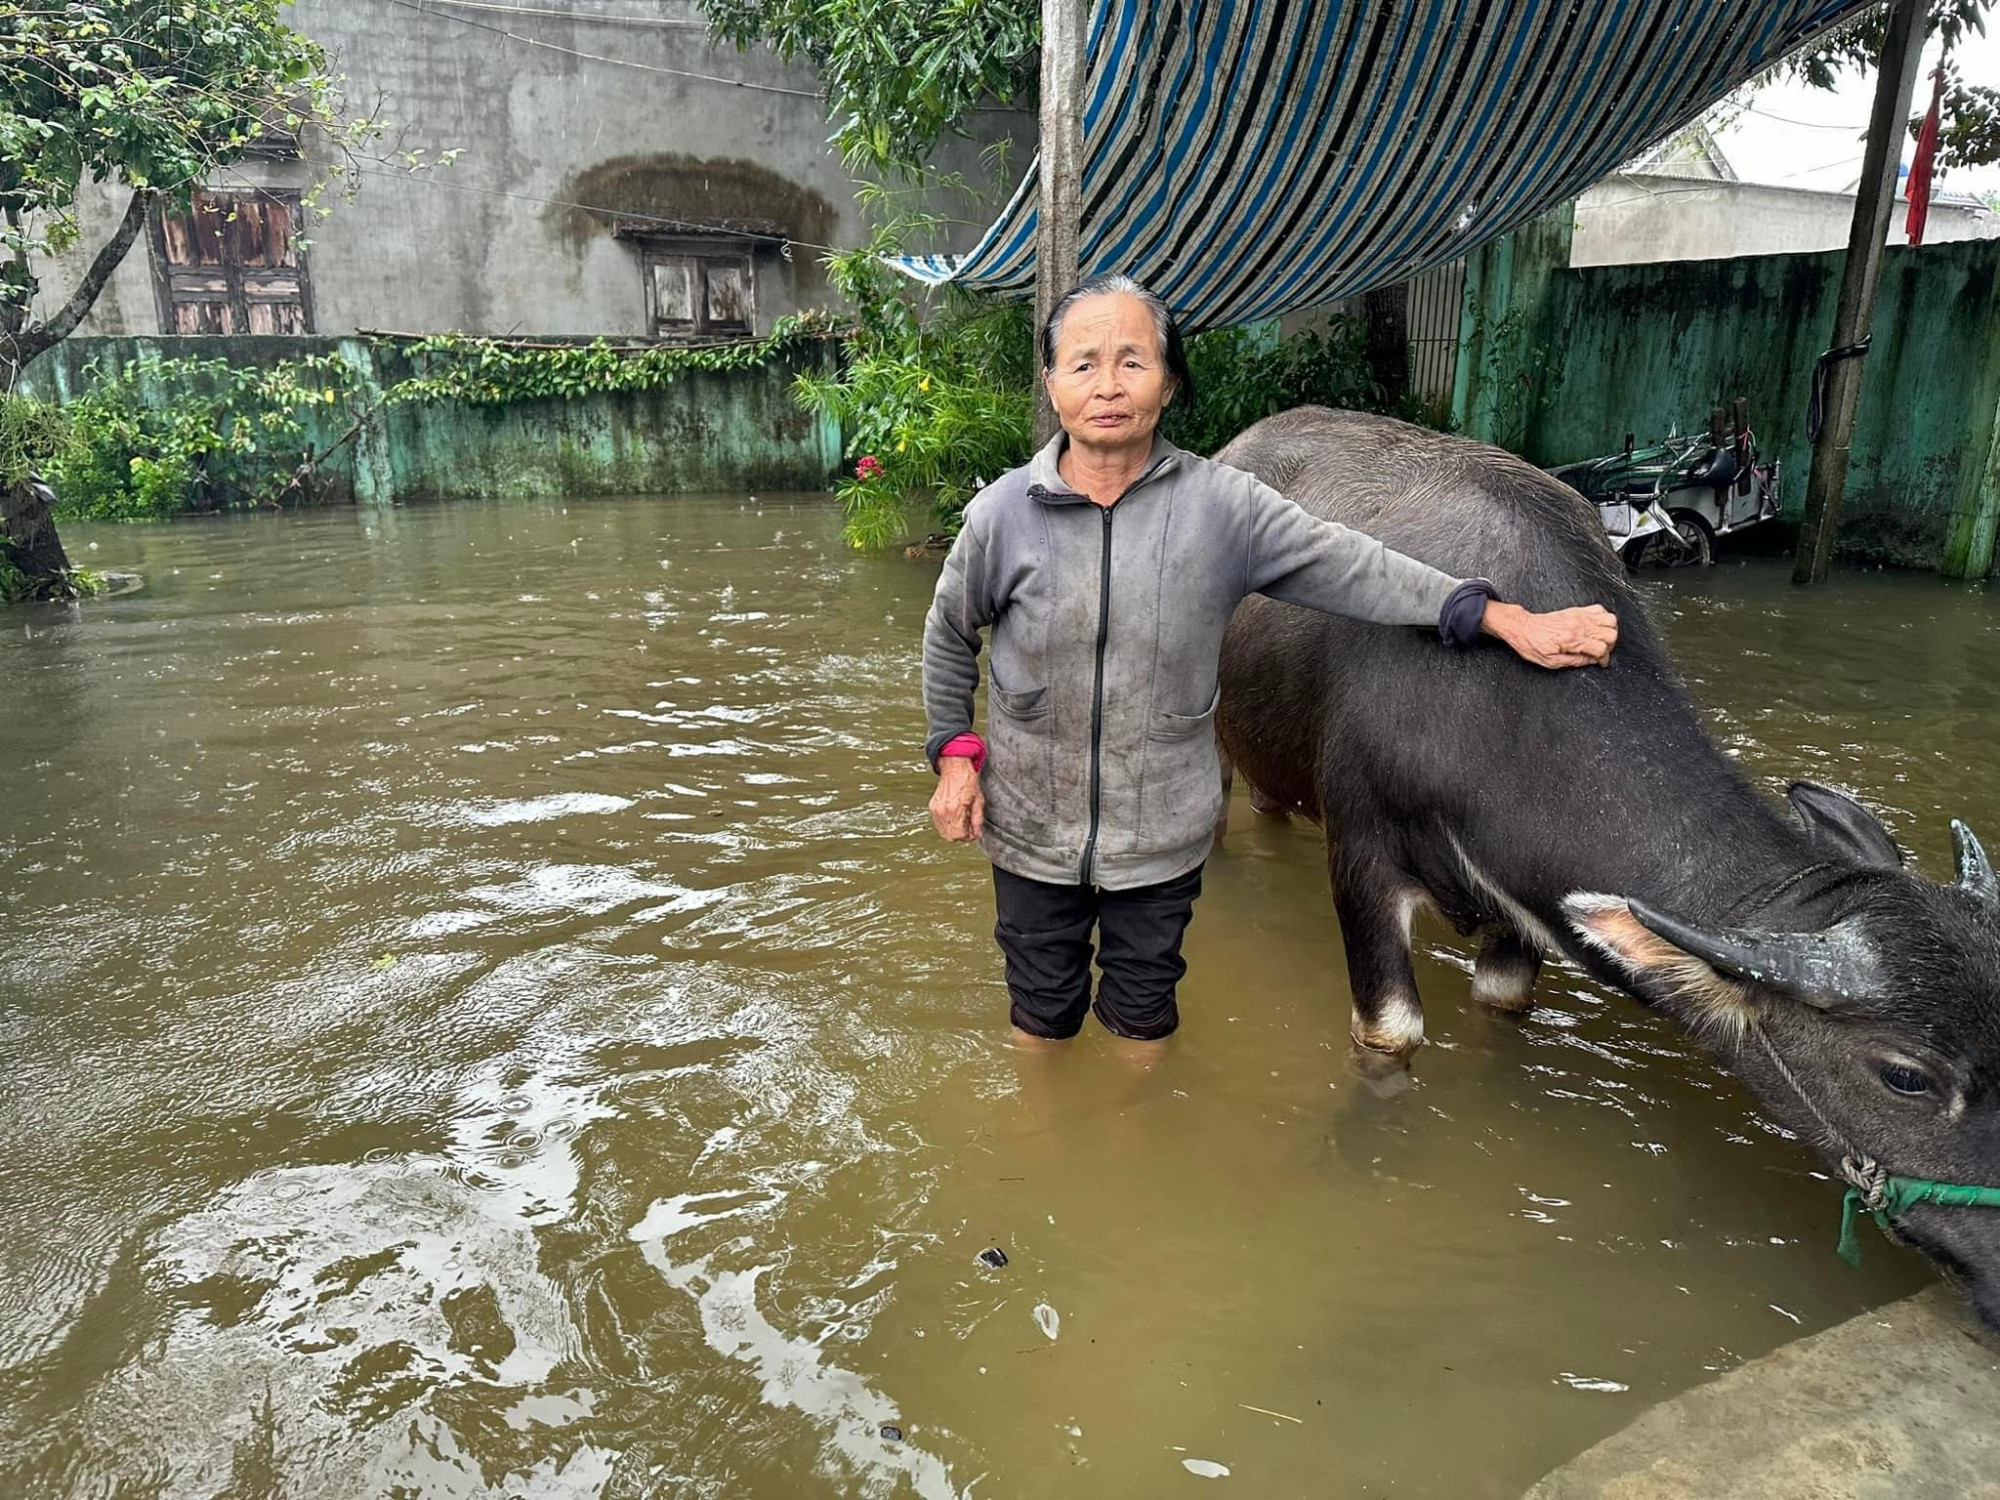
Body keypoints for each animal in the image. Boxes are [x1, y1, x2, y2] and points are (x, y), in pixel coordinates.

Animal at [1208, 408, 2000, 1328]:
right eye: (1906, 1076)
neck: (1491, 703)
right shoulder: (1364, 859)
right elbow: (1391, 1034)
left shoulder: (1521, 907)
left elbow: (1505, 1001)